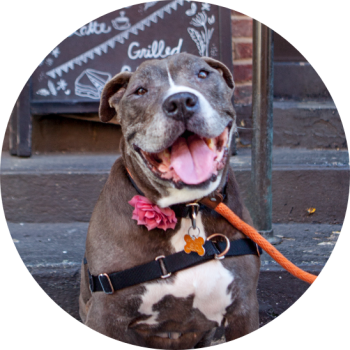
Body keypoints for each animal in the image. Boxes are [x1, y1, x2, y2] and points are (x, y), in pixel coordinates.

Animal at [79, 52, 260, 350]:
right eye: (141, 91)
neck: (188, 210)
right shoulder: (105, 315)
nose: (180, 102)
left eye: (202, 74)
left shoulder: (244, 308)